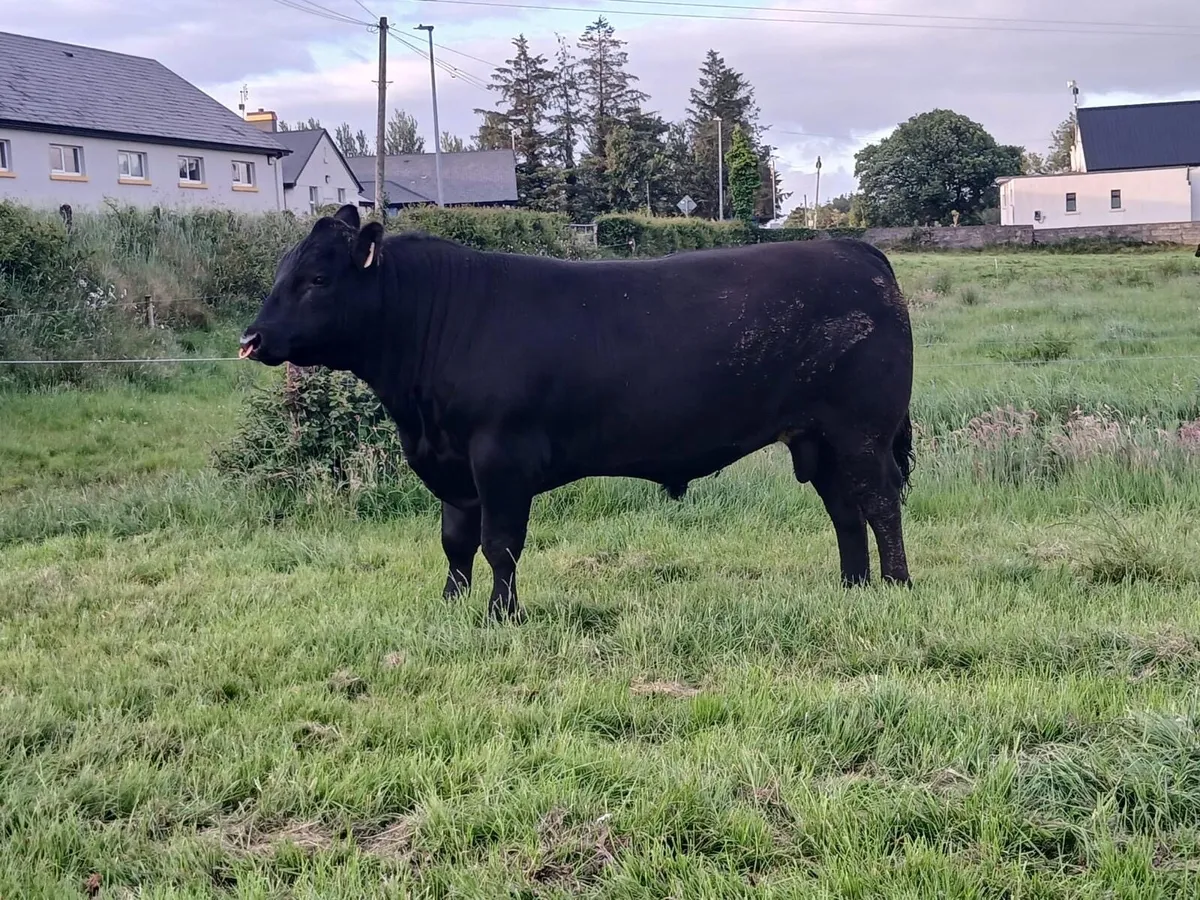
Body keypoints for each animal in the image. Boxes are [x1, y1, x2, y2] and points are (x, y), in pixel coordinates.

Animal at [239, 204, 916, 623]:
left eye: (317, 278)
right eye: (281, 271)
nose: (251, 338)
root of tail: (855, 250)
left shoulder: (501, 456)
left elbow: (500, 544)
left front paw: (500, 616)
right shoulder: (453, 466)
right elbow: (455, 542)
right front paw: (451, 606)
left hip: (863, 431)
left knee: (880, 504)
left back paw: (897, 586)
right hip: (819, 438)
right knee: (845, 510)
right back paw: (853, 587)